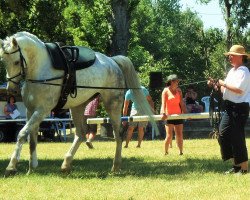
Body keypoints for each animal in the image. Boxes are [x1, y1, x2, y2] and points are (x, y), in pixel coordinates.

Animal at [0, 31, 156, 177]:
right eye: (4, 61)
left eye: (16, 62)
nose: (11, 90)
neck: (40, 71)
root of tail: (112, 61)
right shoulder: (30, 111)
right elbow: (32, 139)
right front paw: (31, 168)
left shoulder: (42, 110)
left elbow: (22, 134)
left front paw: (11, 167)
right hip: (77, 107)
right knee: (80, 134)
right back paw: (66, 164)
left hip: (112, 106)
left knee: (118, 134)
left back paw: (115, 166)